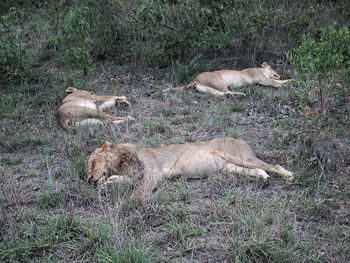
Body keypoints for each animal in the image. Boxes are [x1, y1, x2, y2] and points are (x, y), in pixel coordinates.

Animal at [87, 138, 292, 202]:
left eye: (92, 164)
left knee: (273, 166)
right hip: (231, 167)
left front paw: (130, 203)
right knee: (258, 171)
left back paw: (289, 177)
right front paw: (107, 184)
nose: (88, 179)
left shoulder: (152, 172)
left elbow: (139, 191)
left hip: (241, 157)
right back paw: (264, 179)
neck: (119, 161)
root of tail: (242, 141)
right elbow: (122, 180)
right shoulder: (139, 175)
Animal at [164, 62, 292, 97]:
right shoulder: (259, 79)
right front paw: (282, 85)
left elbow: (280, 81)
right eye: (273, 68)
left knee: (222, 93)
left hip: (208, 89)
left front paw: (290, 81)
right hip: (219, 81)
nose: (279, 74)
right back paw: (241, 94)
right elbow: (273, 82)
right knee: (226, 91)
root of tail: (196, 78)